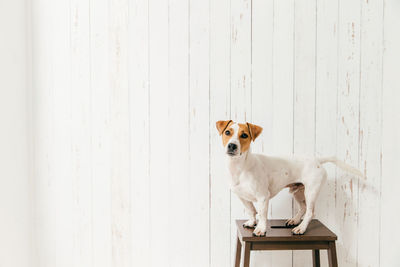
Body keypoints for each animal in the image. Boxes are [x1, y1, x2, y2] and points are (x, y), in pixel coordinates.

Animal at [217, 120, 364, 237]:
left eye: (244, 135)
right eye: (228, 132)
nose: (232, 145)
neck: (240, 167)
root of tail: (317, 160)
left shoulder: (263, 197)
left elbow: (262, 215)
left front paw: (261, 229)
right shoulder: (241, 196)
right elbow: (251, 210)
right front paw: (252, 222)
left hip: (310, 192)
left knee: (310, 212)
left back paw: (301, 228)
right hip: (298, 191)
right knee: (303, 207)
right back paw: (295, 220)